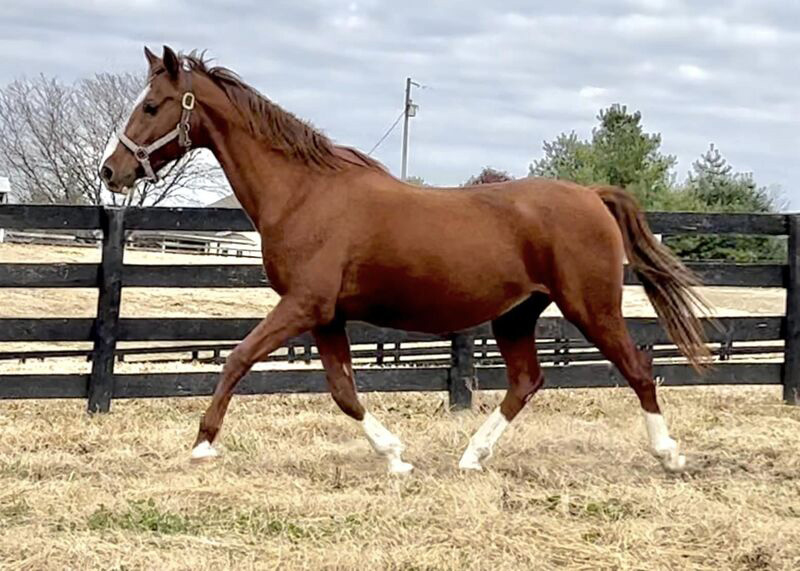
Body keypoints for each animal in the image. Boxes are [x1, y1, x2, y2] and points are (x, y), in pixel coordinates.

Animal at [103, 45, 708, 474]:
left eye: (151, 105)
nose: (112, 171)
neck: (304, 194)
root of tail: (591, 195)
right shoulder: (327, 317)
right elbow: (343, 390)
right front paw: (395, 457)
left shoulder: (302, 306)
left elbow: (236, 359)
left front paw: (203, 443)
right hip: (516, 315)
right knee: (527, 382)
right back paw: (471, 457)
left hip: (591, 307)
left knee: (638, 370)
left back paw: (669, 455)